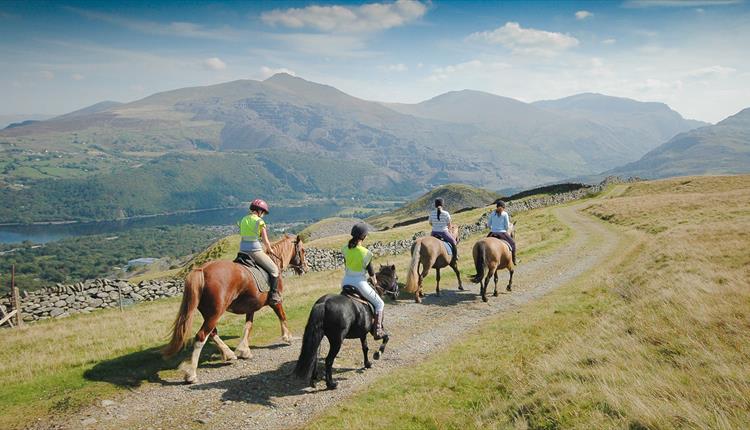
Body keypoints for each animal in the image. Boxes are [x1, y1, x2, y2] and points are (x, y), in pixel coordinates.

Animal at [163, 233, 306, 384]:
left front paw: (244, 350)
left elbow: (248, 326)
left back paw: (229, 354)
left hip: (209, 313)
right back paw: (191, 374)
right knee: (202, 336)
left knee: (212, 333)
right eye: (302, 250)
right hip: (216, 313)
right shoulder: (276, 302)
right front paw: (288, 337)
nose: (305, 267)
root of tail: (202, 270)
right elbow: (282, 316)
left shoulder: (251, 307)